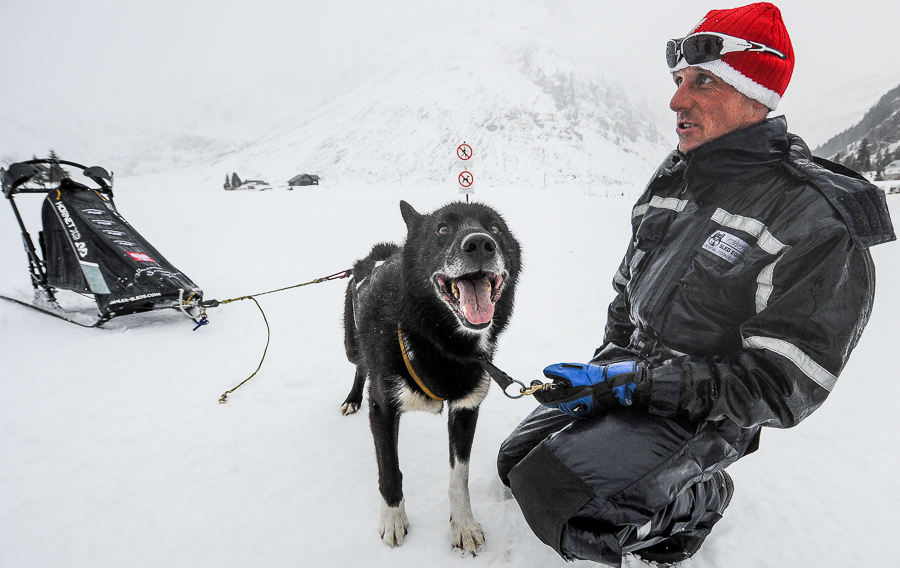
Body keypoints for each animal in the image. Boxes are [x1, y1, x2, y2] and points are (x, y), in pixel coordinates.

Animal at [340, 199, 524, 552]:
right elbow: (389, 469)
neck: (439, 342)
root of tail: (378, 255)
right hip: (353, 345)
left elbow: (459, 476)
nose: (480, 243)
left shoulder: (466, 408)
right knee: (360, 367)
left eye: (495, 228)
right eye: (442, 229)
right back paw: (352, 399)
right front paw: (393, 519)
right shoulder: (383, 408)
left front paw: (463, 525)